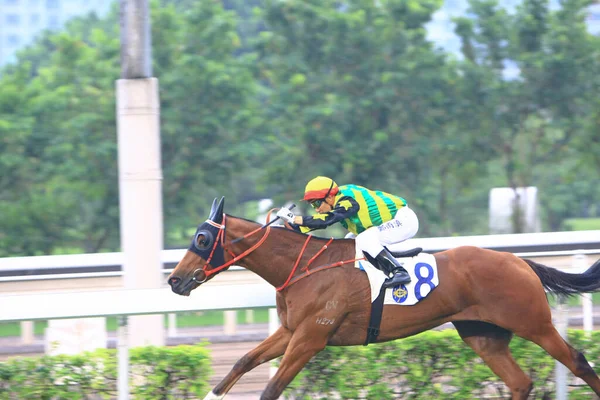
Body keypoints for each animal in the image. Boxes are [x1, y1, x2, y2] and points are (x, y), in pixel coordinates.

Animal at [166, 198, 600, 398]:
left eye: (201, 239)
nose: (174, 280)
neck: (304, 266)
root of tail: (519, 260)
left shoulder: (310, 338)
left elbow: (272, 387)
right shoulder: (291, 331)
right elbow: (243, 360)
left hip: (532, 322)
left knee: (578, 361)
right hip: (483, 335)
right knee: (521, 382)